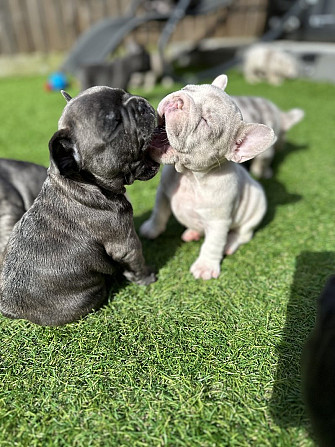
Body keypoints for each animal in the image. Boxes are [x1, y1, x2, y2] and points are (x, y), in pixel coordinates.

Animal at [0, 86, 160, 326]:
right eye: (115, 123)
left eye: (123, 92)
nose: (139, 102)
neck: (85, 183)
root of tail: (9, 310)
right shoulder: (125, 243)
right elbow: (137, 261)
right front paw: (147, 277)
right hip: (89, 295)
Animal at [140, 76, 276, 280]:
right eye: (186, 88)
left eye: (204, 122)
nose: (178, 101)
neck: (191, 177)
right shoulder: (162, 194)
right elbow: (159, 213)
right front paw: (151, 229)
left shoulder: (218, 222)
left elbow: (212, 244)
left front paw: (205, 266)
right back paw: (192, 233)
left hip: (255, 210)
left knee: (243, 234)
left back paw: (230, 243)